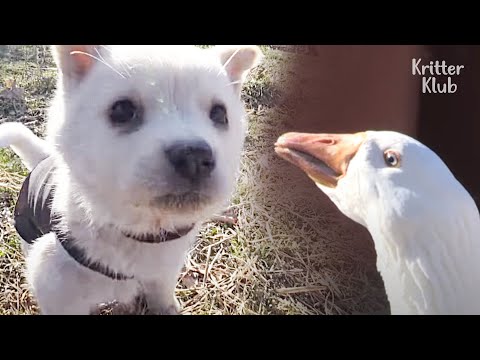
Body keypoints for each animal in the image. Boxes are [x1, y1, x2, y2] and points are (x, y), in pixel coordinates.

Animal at [0, 45, 262, 316]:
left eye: (220, 114)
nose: (195, 158)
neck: (137, 231)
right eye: (122, 110)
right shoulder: (55, 286)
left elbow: (162, 293)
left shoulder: (164, 271)